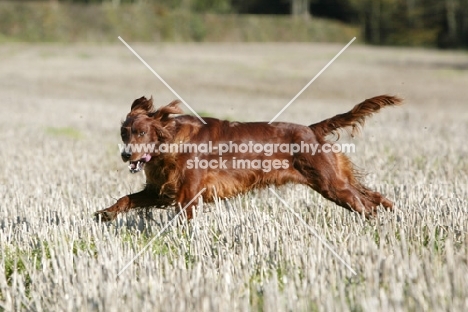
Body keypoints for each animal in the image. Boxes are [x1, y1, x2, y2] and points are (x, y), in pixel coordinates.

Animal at [95, 95, 402, 222]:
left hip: (331, 183)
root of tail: (311, 129)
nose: (126, 155)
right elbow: (127, 198)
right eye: (124, 133)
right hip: (336, 179)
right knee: (372, 196)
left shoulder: (187, 195)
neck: (171, 143)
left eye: (142, 132)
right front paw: (106, 213)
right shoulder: (161, 191)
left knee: (364, 204)